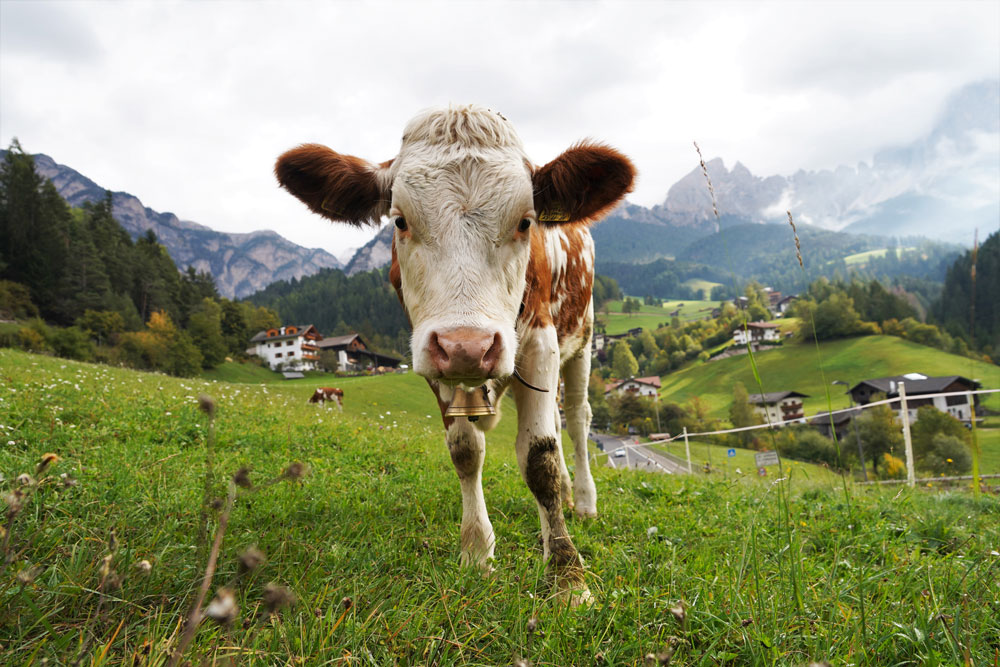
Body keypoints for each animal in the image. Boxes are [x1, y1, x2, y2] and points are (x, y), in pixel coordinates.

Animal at [274, 105, 632, 604]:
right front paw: (477, 551)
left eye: (525, 221)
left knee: (577, 420)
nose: (469, 346)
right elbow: (466, 450)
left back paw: (581, 499)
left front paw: (566, 574)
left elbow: (538, 457)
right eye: (400, 220)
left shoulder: (541, 344)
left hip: (581, 339)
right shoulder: (430, 352)